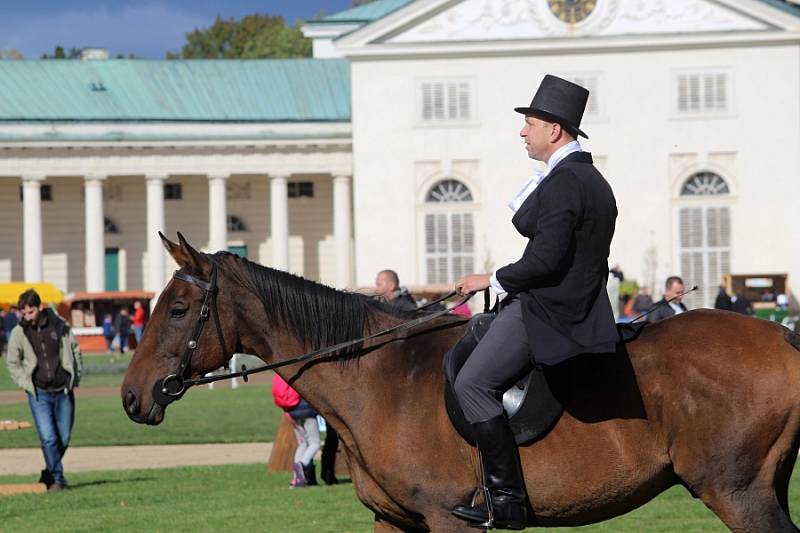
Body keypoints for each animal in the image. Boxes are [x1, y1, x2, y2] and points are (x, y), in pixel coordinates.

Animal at [120, 234, 800, 532]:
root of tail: (783, 338)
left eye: (177, 310)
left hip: (738, 494)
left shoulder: (449, 521)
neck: (381, 378)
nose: (132, 395)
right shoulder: (397, 523)